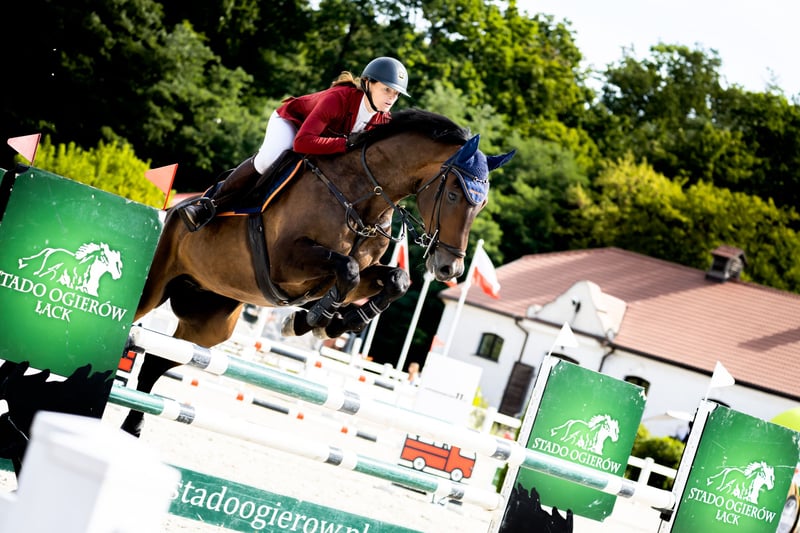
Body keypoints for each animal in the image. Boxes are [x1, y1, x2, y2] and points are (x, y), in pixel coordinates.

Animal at [121, 108, 515, 436]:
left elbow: (393, 281)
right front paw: (313, 319)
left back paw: (134, 424)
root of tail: (172, 209)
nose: (450, 268)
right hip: (154, 288)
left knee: (160, 358)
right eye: (453, 195)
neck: (362, 196)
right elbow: (348, 269)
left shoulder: (356, 272)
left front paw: (333, 322)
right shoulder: (287, 261)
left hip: (211, 321)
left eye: (481, 204)